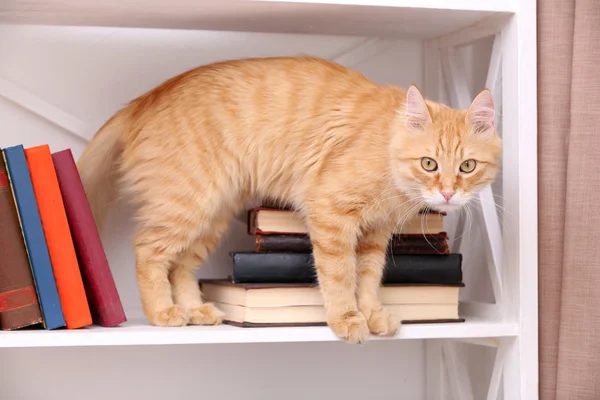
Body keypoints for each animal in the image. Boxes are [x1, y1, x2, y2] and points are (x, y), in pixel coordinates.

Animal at [78, 56, 502, 344]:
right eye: (429, 163)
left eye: (467, 166)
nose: (447, 192)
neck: (387, 148)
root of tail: (144, 99)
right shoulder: (331, 214)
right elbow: (340, 276)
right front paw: (347, 318)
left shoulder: (375, 234)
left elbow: (367, 279)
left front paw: (371, 313)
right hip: (187, 205)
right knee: (147, 252)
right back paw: (162, 313)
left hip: (210, 216)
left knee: (180, 267)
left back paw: (193, 310)